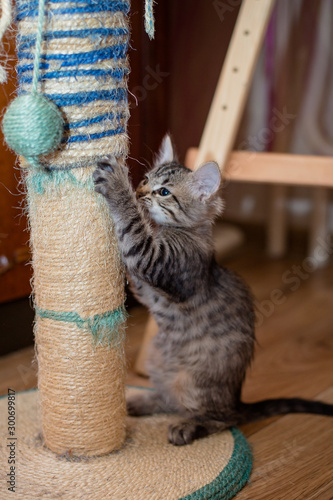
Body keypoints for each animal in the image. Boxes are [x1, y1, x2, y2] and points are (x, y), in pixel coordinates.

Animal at [93, 136, 332, 446]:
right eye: (145, 180)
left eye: (164, 191)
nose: (139, 190)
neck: (186, 231)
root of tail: (235, 400)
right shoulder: (146, 285)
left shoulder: (154, 260)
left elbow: (133, 225)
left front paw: (118, 185)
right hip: (158, 360)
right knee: (169, 399)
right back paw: (140, 402)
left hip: (194, 382)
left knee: (221, 419)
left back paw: (187, 427)